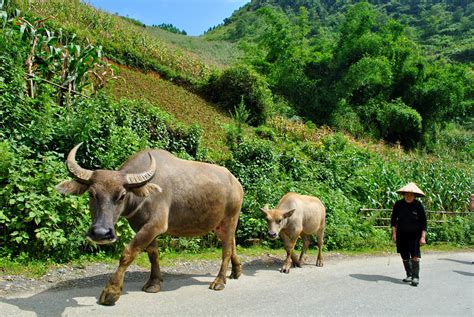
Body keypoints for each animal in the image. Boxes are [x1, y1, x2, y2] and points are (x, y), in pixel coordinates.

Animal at [55, 143, 244, 304]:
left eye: (122, 195)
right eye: (92, 194)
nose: (101, 233)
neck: (141, 196)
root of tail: (236, 183)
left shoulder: (155, 225)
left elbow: (128, 253)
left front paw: (111, 292)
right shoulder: (143, 227)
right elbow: (153, 254)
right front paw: (154, 283)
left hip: (230, 219)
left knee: (226, 249)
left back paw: (219, 281)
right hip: (218, 225)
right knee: (232, 243)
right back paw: (236, 271)